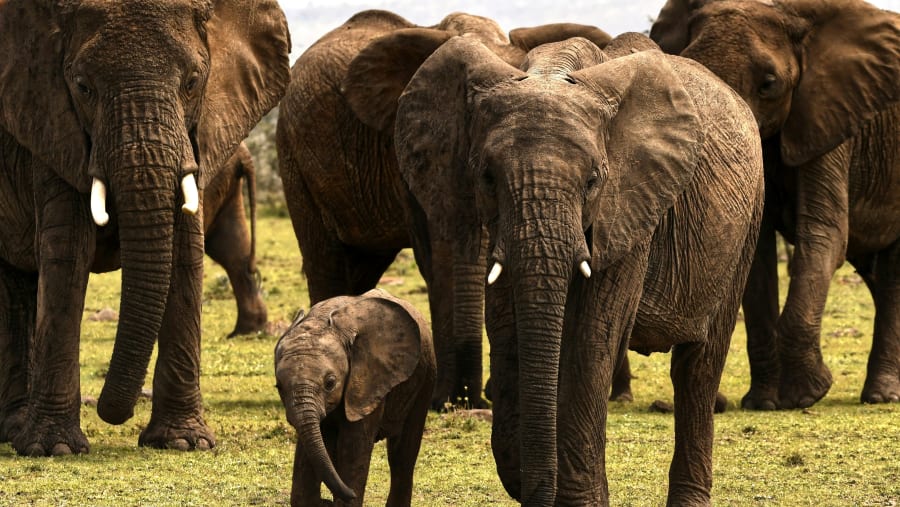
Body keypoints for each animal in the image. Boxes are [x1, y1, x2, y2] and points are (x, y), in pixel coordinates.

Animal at [0, 0, 290, 456]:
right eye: (82, 87)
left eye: (192, 82)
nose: (110, 412)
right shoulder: (50, 121)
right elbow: (67, 258)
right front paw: (54, 449)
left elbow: (185, 255)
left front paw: (184, 443)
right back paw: (15, 430)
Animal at [274, 288, 435, 507]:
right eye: (279, 387)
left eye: (330, 383)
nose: (326, 501)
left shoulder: (369, 381)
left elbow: (353, 447)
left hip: (426, 376)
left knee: (402, 455)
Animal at [276, 9, 611, 410]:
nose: (468, 399)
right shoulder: (407, 149)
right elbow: (437, 257)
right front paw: (445, 398)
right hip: (293, 157)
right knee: (325, 258)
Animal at [373, 33, 765, 504]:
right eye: (487, 177)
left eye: (593, 181)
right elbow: (508, 328)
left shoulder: (631, 208)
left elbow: (592, 337)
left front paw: (582, 497)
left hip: (749, 221)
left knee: (697, 368)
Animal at [650, 0, 900, 409]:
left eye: (769, 84)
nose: (720, 404)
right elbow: (756, 251)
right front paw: (762, 402)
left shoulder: (828, 117)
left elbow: (823, 233)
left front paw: (805, 395)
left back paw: (882, 397)